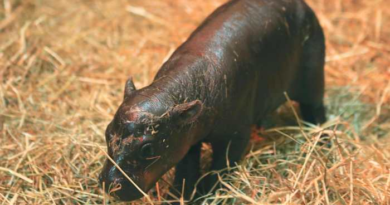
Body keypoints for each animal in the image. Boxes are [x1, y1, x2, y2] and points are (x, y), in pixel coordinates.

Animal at [98, 0, 326, 202]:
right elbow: (186, 169)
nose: (109, 184)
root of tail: (303, 5)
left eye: (148, 148)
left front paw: (207, 195)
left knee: (315, 109)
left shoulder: (235, 136)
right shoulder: (186, 138)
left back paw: (322, 139)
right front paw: (178, 197)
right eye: (107, 132)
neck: (172, 92)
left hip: (313, 80)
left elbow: (220, 166)